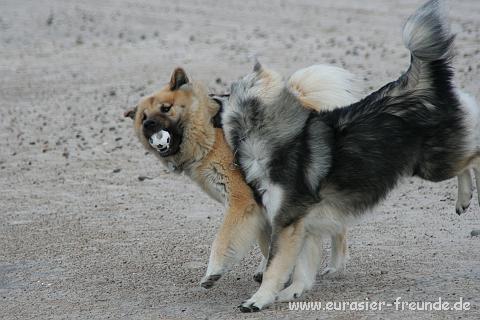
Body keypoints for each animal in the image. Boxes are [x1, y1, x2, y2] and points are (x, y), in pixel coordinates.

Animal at [221, 0, 480, 312]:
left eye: (229, 92)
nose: (215, 97)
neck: (277, 137)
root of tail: (415, 81)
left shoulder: (286, 221)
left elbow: (274, 267)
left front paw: (258, 300)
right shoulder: (303, 222)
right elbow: (302, 268)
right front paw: (294, 292)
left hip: (435, 164)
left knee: (474, 155)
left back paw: (464, 195)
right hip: (434, 164)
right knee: (467, 160)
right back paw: (464, 199)